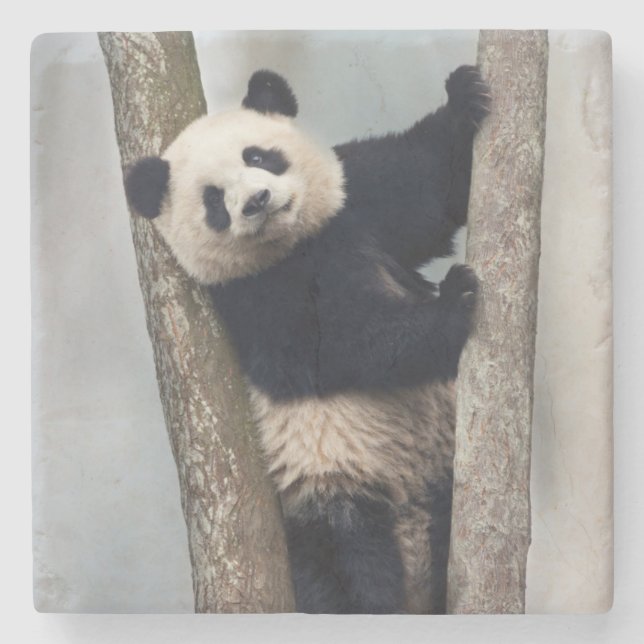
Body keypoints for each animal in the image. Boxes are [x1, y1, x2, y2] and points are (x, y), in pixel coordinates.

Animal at [124, 67, 489, 614]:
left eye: (257, 157)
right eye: (213, 199)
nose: (256, 202)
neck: (296, 243)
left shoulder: (357, 202)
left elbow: (429, 186)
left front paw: (465, 97)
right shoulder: (252, 298)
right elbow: (340, 348)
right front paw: (454, 303)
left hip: (438, 465)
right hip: (332, 489)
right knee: (349, 565)